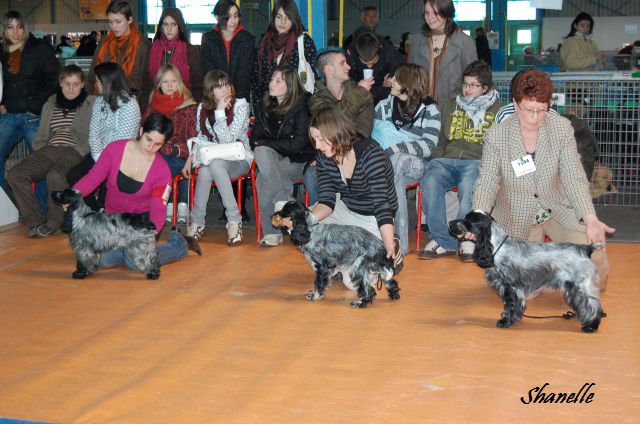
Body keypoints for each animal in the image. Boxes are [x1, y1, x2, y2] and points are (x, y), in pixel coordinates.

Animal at [270, 201, 400, 308]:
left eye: (285, 212)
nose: (271, 215)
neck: (310, 231)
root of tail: (382, 249)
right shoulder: (328, 269)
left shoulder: (321, 267)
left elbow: (318, 283)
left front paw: (315, 295)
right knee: (390, 282)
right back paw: (394, 295)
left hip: (357, 269)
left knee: (369, 289)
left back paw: (360, 303)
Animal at [448, 210, 604, 332]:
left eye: (467, 220)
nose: (450, 222)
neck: (497, 246)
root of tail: (585, 248)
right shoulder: (517, 288)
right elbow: (518, 305)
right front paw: (514, 319)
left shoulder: (510, 286)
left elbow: (509, 305)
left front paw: (505, 321)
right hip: (572, 288)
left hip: (582, 286)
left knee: (594, 306)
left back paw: (591, 326)